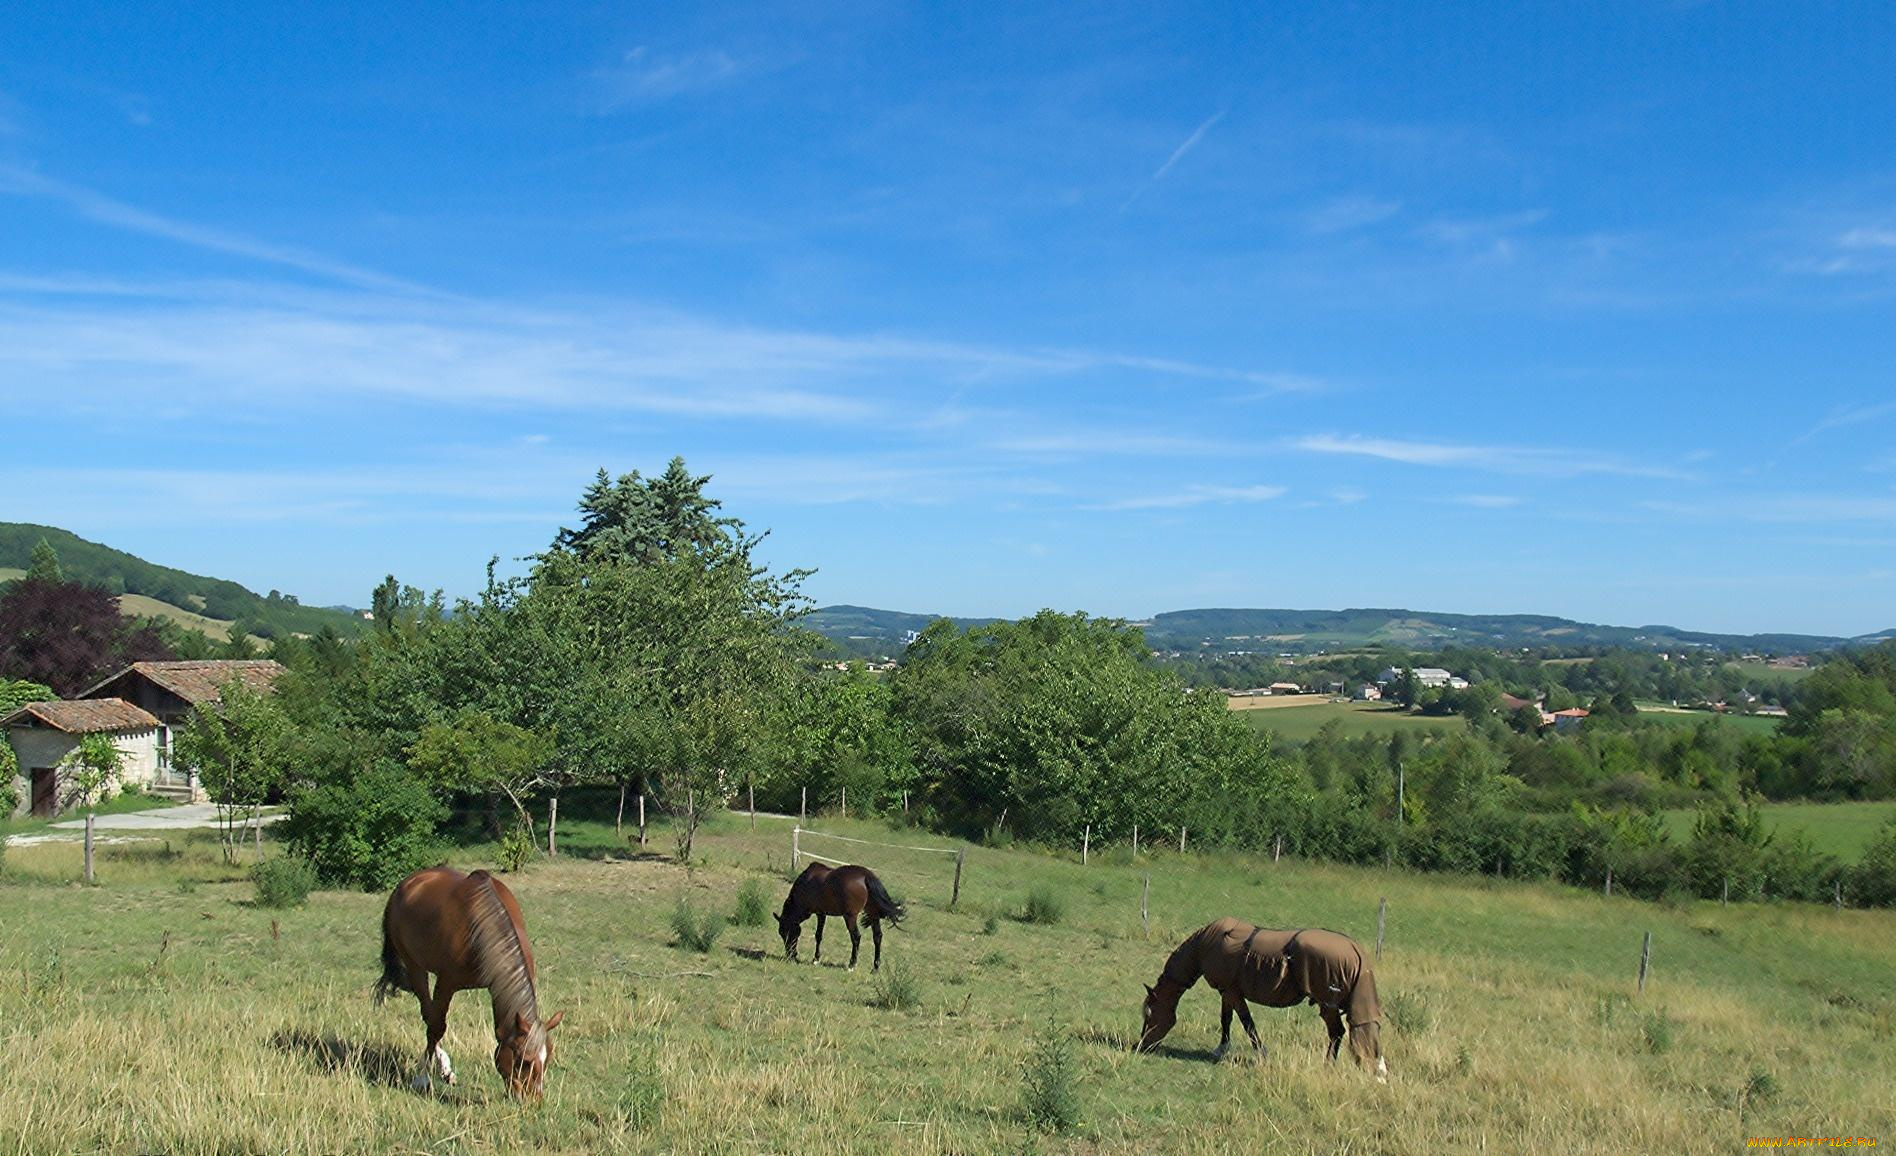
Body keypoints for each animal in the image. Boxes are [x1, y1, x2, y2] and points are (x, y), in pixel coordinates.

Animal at [373, 860, 565, 1091]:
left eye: (548, 1059)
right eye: (523, 1061)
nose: (533, 1097)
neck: (482, 927)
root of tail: (407, 884)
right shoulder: (446, 983)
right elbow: (436, 1027)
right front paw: (422, 1077)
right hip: (415, 966)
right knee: (429, 1015)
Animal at [1130, 913, 1387, 1076]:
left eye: (1150, 1014)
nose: (1141, 1046)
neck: (1209, 943)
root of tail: (1355, 951)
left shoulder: (1232, 992)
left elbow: (1246, 1023)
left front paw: (1260, 1053)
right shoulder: (1227, 991)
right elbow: (1226, 1020)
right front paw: (1222, 1048)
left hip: (1328, 1005)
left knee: (1336, 1033)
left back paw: (1327, 1067)